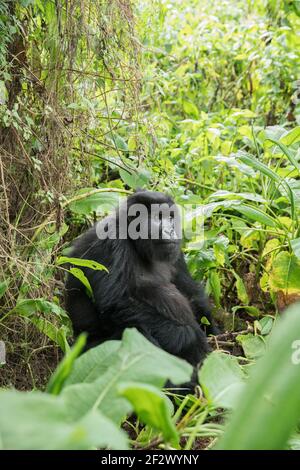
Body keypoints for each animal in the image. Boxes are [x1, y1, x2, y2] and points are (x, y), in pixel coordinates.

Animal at [65, 191, 216, 390]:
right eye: (158, 217)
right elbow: (116, 304)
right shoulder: (109, 241)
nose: (171, 230)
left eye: (171, 217)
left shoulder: (175, 251)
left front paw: (213, 330)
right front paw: (191, 339)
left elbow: (190, 292)